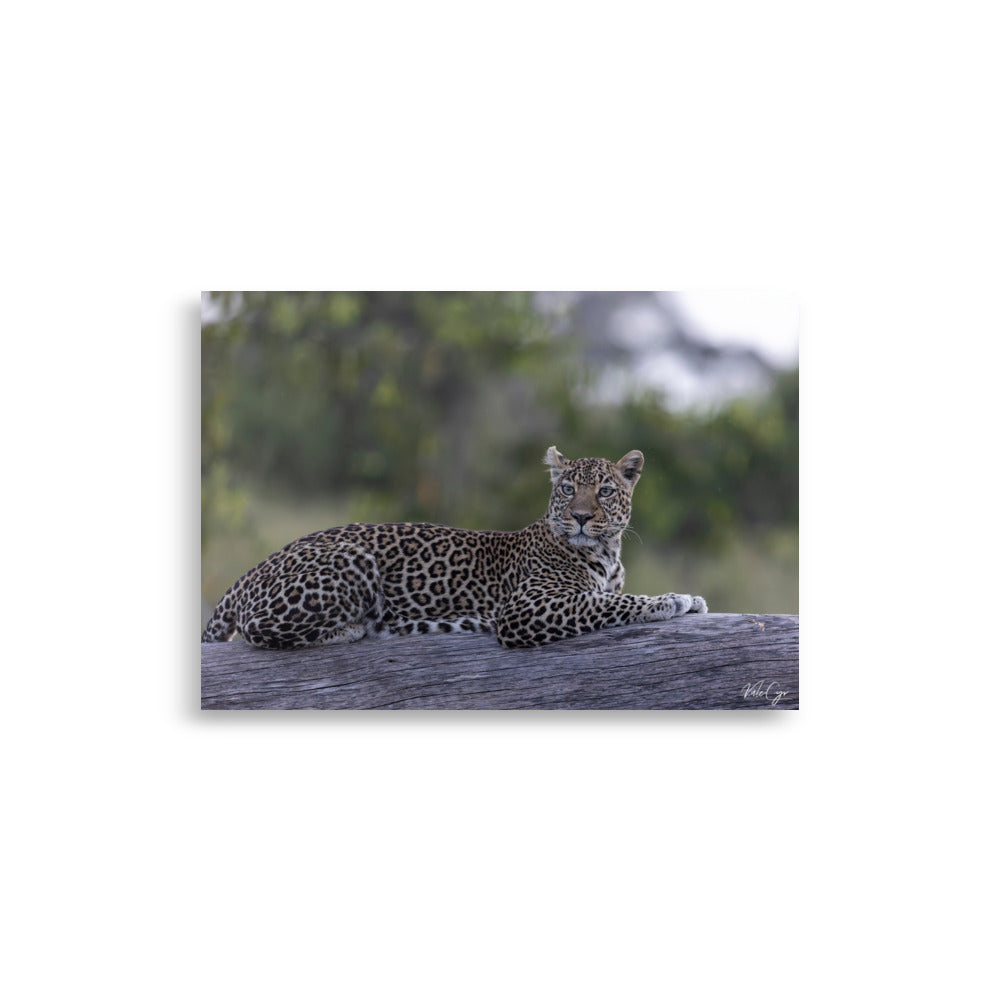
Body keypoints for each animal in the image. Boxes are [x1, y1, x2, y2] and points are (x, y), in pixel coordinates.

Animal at [199, 448, 708, 652]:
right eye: (567, 489)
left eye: (604, 491)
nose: (581, 517)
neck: (607, 553)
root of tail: (251, 571)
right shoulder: (526, 609)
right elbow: (608, 604)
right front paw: (674, 600)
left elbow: (609, 598)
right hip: (351, 560)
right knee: (257, 630)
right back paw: (356, 628)